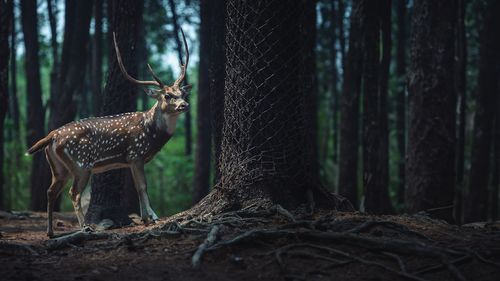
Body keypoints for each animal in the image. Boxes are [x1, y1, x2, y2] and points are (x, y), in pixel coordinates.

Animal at [26, 30, 192, 236]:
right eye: (167, 95)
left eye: (182, 94)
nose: (184, 105)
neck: (151, 133)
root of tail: (52, 136)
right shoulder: (136, 154)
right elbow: (143, 186)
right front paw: (153, 217)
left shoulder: (130, 160)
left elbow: (138, 187)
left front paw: (145, 217)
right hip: (81, 164)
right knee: (74, 193)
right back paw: (85, 227)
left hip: (59, 168)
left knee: (50, 191)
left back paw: (50, 232)